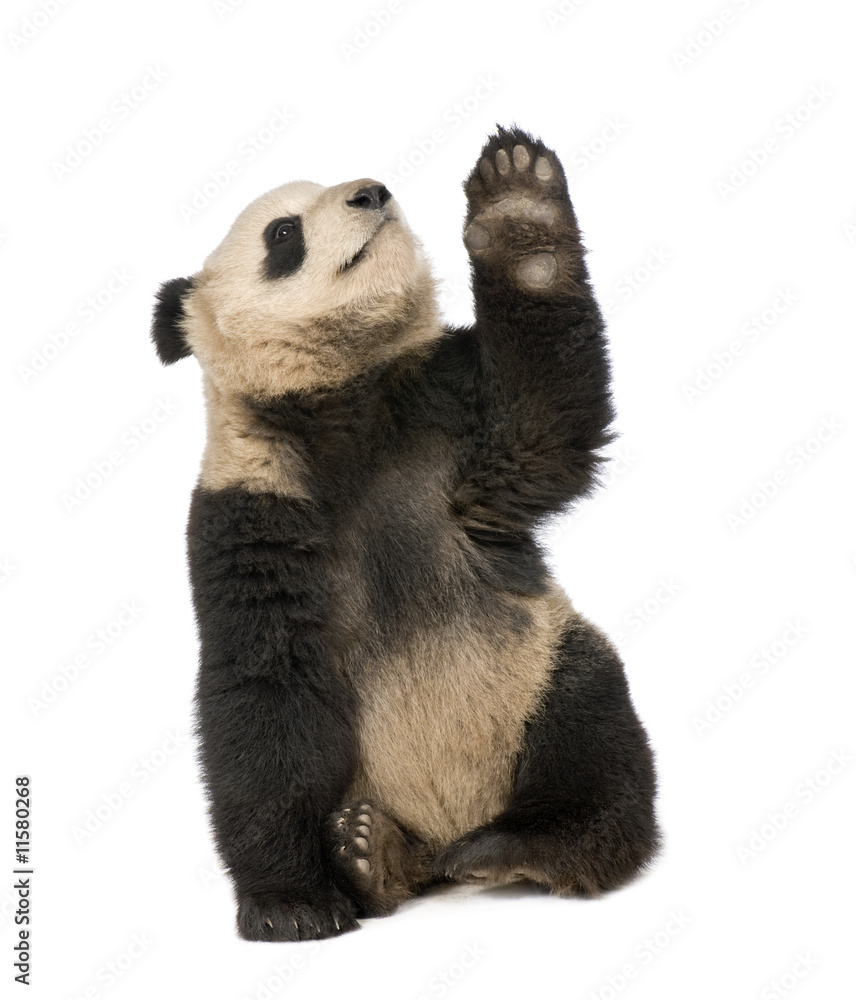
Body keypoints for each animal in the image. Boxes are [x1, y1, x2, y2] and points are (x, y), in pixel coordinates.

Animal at [151, 126, 660, 942]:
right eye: (283, 233)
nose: (371, 193)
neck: (345, 398)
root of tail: (444, 834)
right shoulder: (248, 508)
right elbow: (262, 685)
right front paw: (292, 903)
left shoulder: (453, 419)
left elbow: (545, 419)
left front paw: (519, 210)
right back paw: (368, 851)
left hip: (532, 677)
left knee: (592, 727)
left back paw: (522, 848)